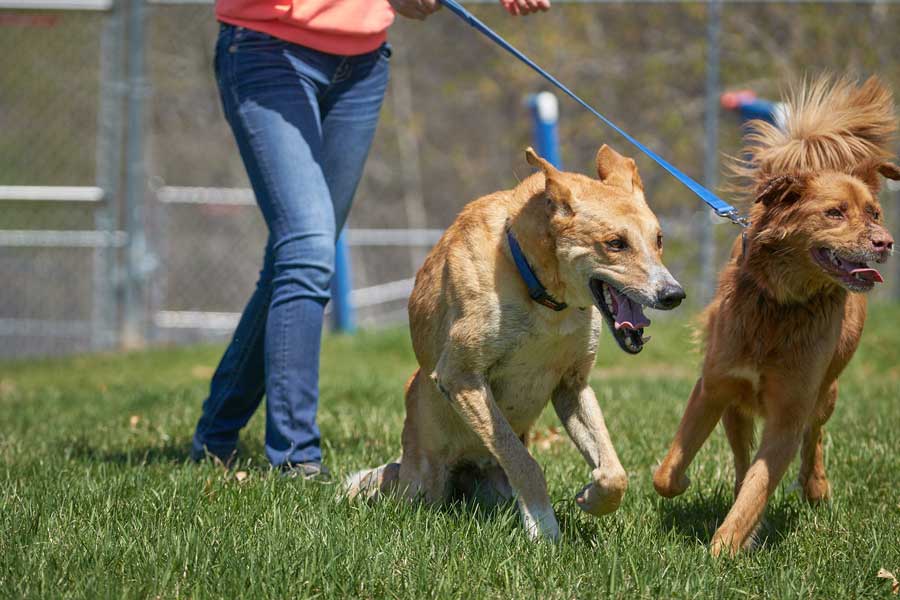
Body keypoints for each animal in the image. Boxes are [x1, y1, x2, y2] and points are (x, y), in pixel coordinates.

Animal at [348, 144, 684, 540]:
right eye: (615, 244)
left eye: (659, 240)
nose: (674, 295)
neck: (542, 295)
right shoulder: (461, 378)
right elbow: (523, 461)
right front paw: (544, 527)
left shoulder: (572, 385)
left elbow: (614, 471)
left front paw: (591, 497)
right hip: (420, 486)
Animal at [652, 76, 900, 556]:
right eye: (834, 212)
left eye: (875, 213)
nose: (885, 242)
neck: (782, 303)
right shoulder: (714, 387)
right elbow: (668, 472)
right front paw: (688, 488)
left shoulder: (789, 413)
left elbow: (758, 487)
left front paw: (724, 548)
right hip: (737, 407)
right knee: (740, 455)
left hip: (826, 392)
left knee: (813, 436)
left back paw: (815, 486)